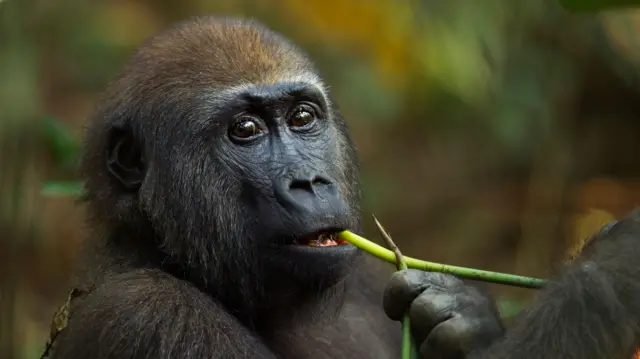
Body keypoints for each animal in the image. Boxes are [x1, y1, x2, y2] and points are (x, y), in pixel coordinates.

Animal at [48, 16, 640, 359]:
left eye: (303, 118)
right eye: (246, 130)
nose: (311, 181)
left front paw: (463, 315)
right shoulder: (147, 313)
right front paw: (611, 273)